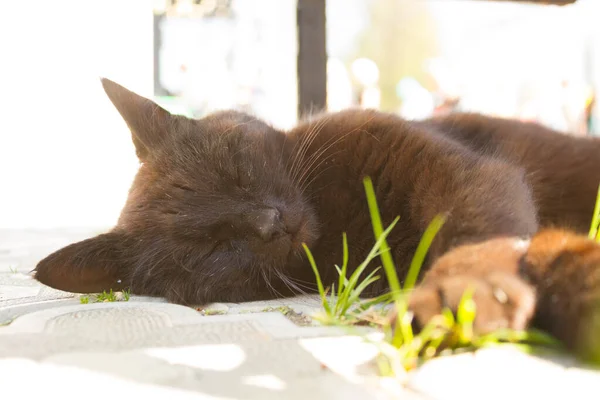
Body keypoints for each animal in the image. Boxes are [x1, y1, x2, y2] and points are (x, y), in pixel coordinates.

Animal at [34, 77, 600, 356]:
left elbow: (473, 230)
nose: (270, 221)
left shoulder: (463, 172)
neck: (338, 219)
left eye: (235, 169)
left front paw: (460, 295)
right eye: (213, 247)